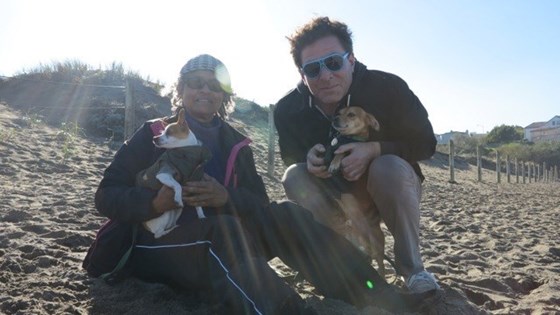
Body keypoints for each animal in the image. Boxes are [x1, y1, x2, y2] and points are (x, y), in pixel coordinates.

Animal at [326, 107, 388, 278]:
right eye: (339, 112)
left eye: (351, 114)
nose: (334, 118)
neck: (345, 138)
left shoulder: (350, 150)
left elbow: (340, 153)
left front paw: (334, 164)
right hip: (356, 234)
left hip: (375, 243)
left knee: (379, 261)